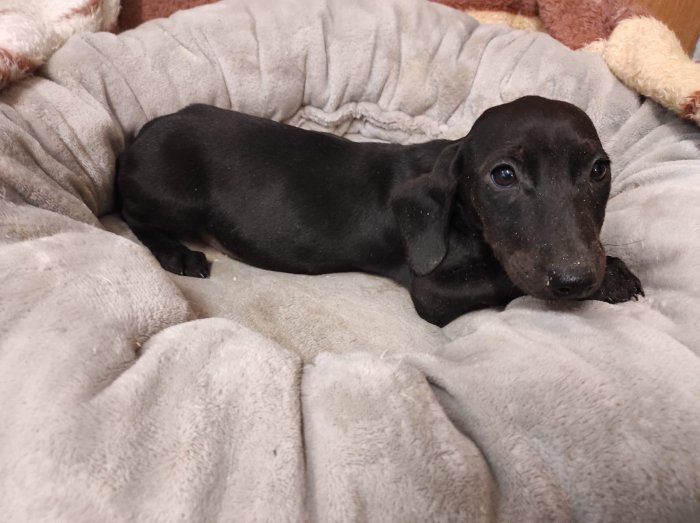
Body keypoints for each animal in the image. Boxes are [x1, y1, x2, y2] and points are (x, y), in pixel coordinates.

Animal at [116, 96, 643, 326]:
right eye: (504, 175)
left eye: (599, 169)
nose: (577, 277)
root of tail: (141, 134)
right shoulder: (432, 292)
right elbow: (507, 277)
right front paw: (611, 282)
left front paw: (613, 271)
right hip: (174, 197)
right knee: (131, 215)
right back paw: (178, 254)